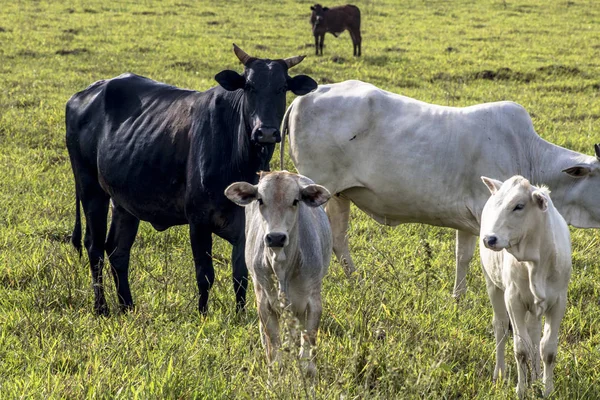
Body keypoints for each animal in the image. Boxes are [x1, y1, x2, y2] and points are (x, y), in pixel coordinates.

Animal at [66, 44, 318, 316]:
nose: (267, 132)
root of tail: (83, 94)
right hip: (91, 189)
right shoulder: (198, 219)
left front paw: (240, 315)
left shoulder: (243, 225)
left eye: (282, 87)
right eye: (249, 86)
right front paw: (203, 314)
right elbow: (204, 274)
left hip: (124, 203)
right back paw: (101, 307)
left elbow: (240, 274)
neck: (241, 158)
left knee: (117, 251)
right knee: (94, 247)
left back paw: (127, 306)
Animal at [224, 171, 330, 376]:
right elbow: (274, 353)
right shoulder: (264, 303)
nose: (276, 237)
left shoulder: (313, 302)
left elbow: (308, 356)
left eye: (296, 200)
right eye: (260, 200)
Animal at [284, 79, 600, 300]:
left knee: (338, 240)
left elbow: (463, 257)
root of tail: (305, 96)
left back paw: (358, 282)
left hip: (339, 195)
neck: (527, 151)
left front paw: (458, 298)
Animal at [478, 177, 572, 398]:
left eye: (518, 206)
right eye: (497, 204)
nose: (489, 239)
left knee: (534, 335)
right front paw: (521, 390)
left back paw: (536, 376)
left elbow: (547, 349)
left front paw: (547, 389)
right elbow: (521, 348)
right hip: (492, 283)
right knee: (501, 326)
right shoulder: (513, 300)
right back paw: (500, 373)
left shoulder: (558, 302)